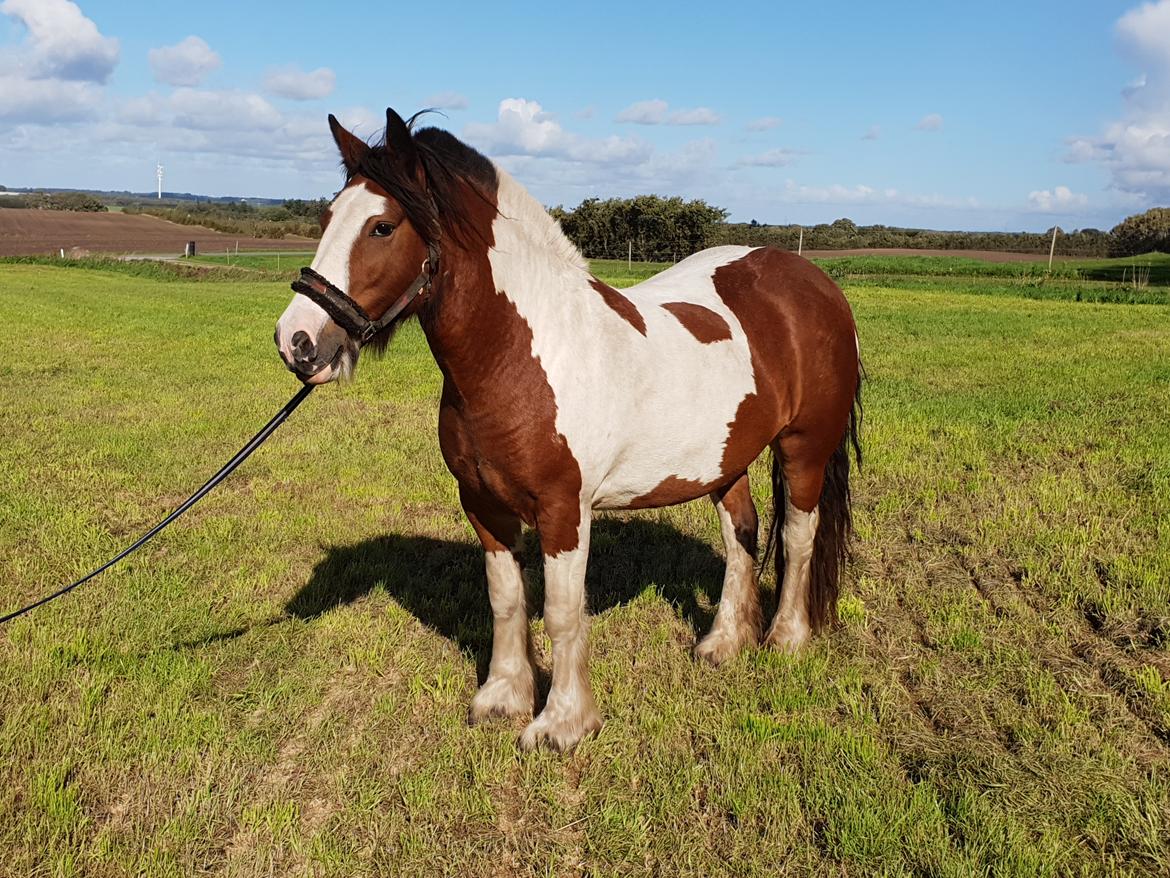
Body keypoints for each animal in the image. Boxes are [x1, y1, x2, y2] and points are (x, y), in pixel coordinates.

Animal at [271, 106, 861, 753]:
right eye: (327, 218)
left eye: (381, 226)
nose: (297, 341)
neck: (523, 354)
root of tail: (813, 281)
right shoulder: (482, 504)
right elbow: (506, 600)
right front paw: (503, 698)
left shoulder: (563, 511)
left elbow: (560, 610)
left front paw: (562, 724)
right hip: (725, 458)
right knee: (742, 535)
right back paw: (723, 644)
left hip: (805, 448)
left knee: (799, 537)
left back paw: (786, 639)